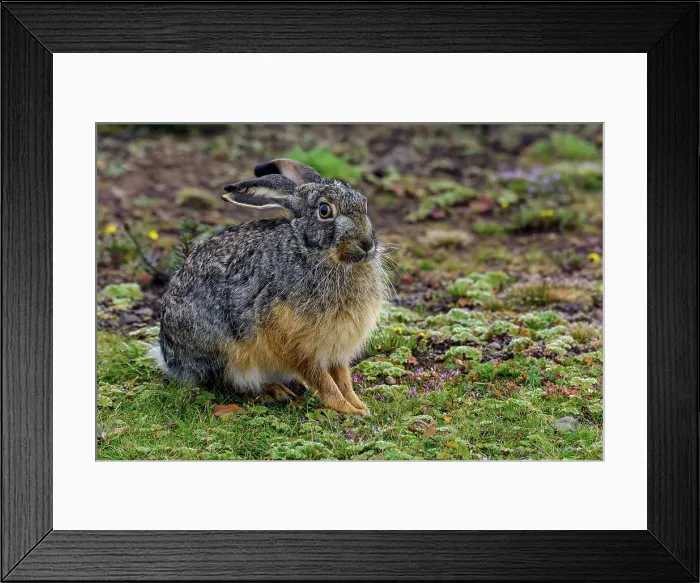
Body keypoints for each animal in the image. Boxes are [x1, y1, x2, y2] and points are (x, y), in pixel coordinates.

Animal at [154, 158, 387, 415]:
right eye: (325, 211)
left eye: (364, 204)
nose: (366, 244)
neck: (313, 252)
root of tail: (171, 359)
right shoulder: (295, 343)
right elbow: (321, 379)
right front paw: (348, 410)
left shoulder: (336, 349)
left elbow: (342, 377)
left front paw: (359, 404)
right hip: (222, 350)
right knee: (226, 383)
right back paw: (274, 391)